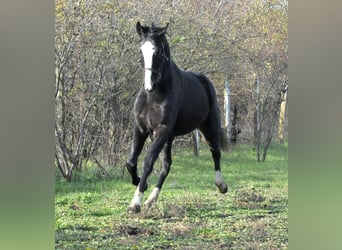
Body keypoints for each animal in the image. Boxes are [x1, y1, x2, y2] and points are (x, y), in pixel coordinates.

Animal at [125, 22, 227, 213]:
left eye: (157, 51)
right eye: (141, 50)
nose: (148, 86)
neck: (155, 95)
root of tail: (205, 81)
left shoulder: (162, 130)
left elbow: (147, 163)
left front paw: (135, 203)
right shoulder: (141, 128)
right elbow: (131, 162)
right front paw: (139, 183)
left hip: (209, 127)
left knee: (215, 152)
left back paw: (221, 185)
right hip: (170, 138)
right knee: (166, 166)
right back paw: (151, 200)